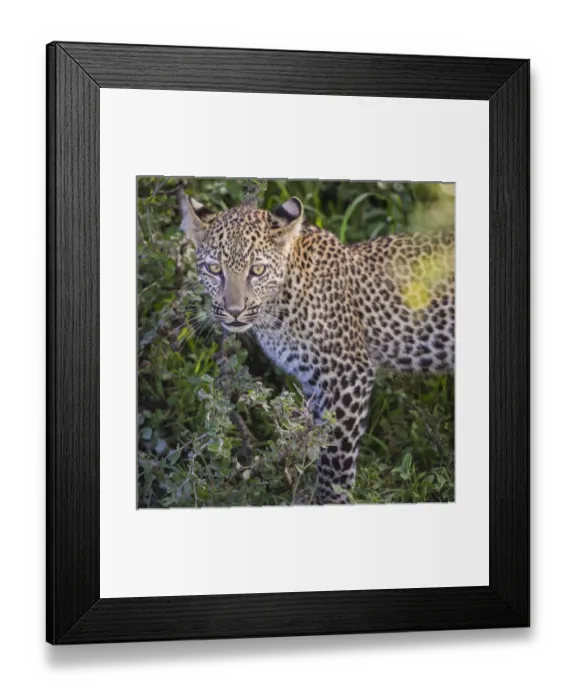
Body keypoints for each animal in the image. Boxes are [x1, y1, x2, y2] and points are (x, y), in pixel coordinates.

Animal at [178, 190, 455, 505]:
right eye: (215, 269)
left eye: (257, 270)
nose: (234, 311)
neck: (278, 306)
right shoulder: (313, 381)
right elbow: (314, 439)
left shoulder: (348, 375)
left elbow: (336, 455)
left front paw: (331, 498)